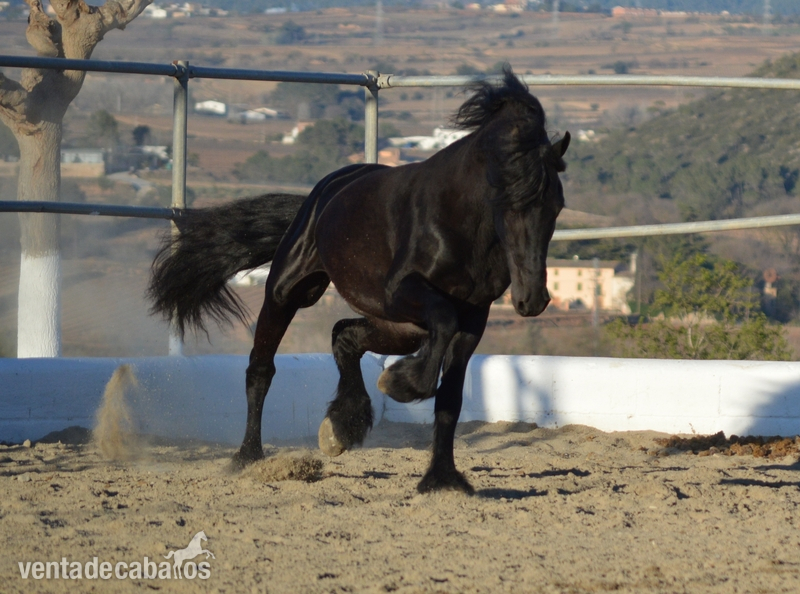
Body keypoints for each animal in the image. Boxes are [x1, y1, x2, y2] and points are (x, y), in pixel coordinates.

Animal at [148, 67, 570, 493]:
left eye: (556, 205)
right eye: (507, 200)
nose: (532, 299)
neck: (459, 223)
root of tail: (322, 194)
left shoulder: (474, 316)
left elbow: (450, 398)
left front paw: (442, 478)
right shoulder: (403, 291)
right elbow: (443, 323)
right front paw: (400, 383)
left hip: (400, 329)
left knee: (344, 336)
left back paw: (341, 426)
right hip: (290, 293)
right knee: (261, 369)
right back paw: (248, 457)